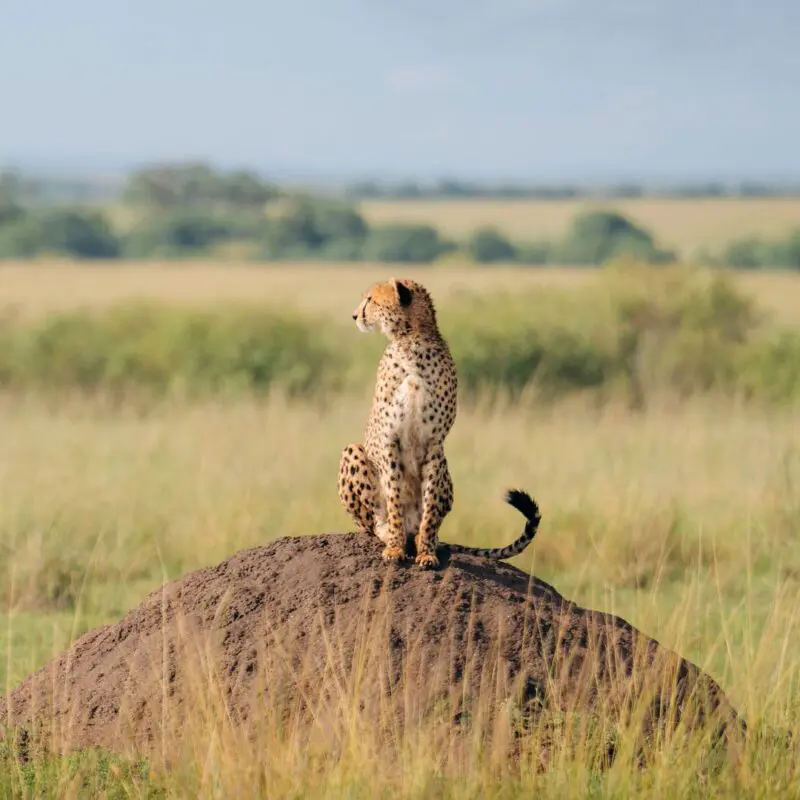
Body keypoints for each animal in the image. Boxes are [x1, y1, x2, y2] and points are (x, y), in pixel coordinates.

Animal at [337, 276, 543, 569]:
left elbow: (431, 503)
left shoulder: (434, 443)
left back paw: (423, 539)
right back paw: (390, 534)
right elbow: (394, 497)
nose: (355, 315)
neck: (411, 341)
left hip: (445, 464)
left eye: (370, 300)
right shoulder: (389, 439)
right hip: (352, 450)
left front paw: (426, 553)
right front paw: (395, 548)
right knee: (372, 522)